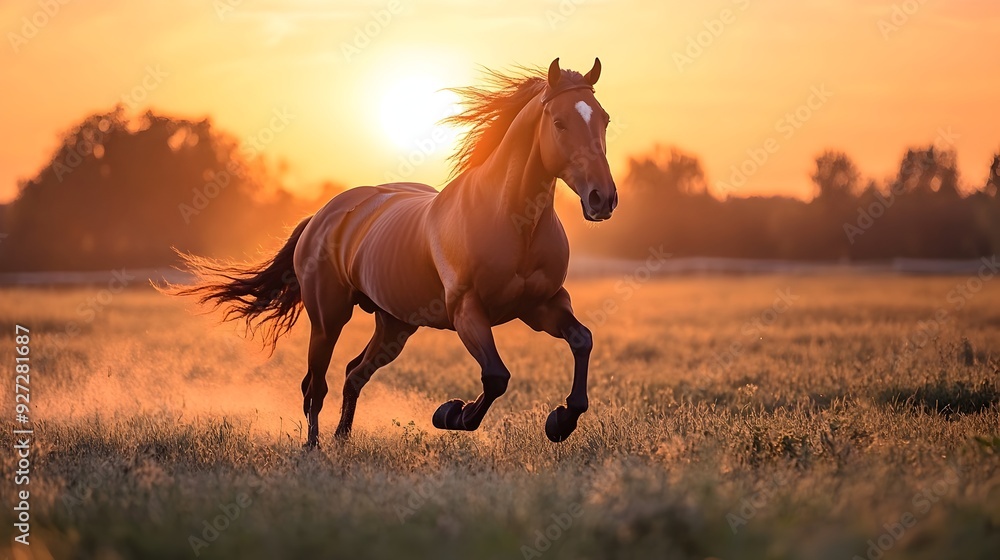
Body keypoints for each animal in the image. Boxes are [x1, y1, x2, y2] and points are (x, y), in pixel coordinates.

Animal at [170, 58, 618, 448]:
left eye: (604, 119)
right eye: (559, 122)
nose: (603, 199)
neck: (512, 219)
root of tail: (322, 215)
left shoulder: (541, 305)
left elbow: (582, 340)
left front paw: (560, 421)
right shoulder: (467, 310)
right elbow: (496, 376)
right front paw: (451, 413)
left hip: (394, 326)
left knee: (354, 374)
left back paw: (342, 440)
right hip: (328, 319)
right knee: (317, 385)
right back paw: (314, 448)